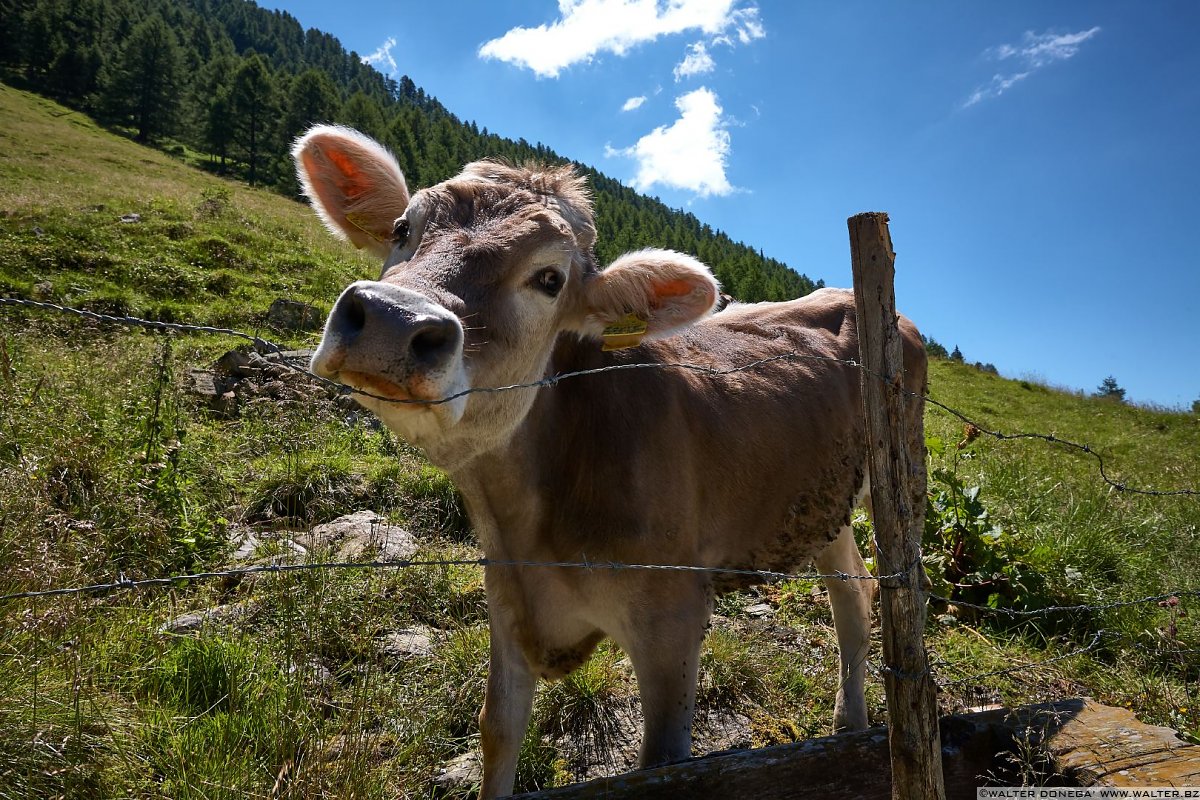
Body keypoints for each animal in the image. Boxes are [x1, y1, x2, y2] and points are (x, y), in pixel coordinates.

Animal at [292, 125, 926, 800]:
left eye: (549, 279)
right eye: (401, 228)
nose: (393, 319)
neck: (529, 524)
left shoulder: (673, 616)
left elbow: (660, 762)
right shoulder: (505, 598)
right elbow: (498, 730)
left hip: (902, 479)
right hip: (821, 499)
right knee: (852, 593)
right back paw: (848, 728)